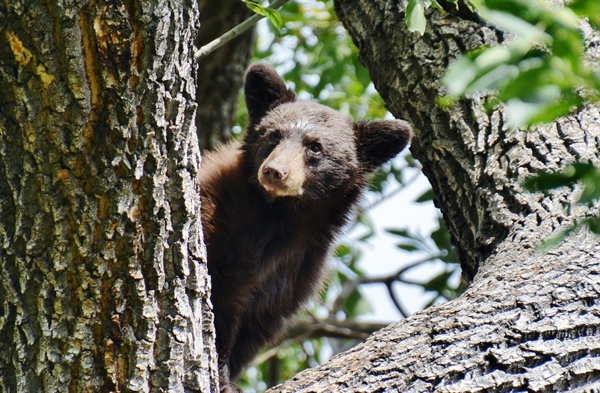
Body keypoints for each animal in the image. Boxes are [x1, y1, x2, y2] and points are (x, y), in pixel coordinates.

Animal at [200, 62, 412, 390]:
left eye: (315, 147)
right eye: (273, 135)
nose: (275, 172)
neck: (281, 217)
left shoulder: (298, 268)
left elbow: (258, 324)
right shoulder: (220, 222)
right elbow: (221, 299)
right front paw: (223, 378)